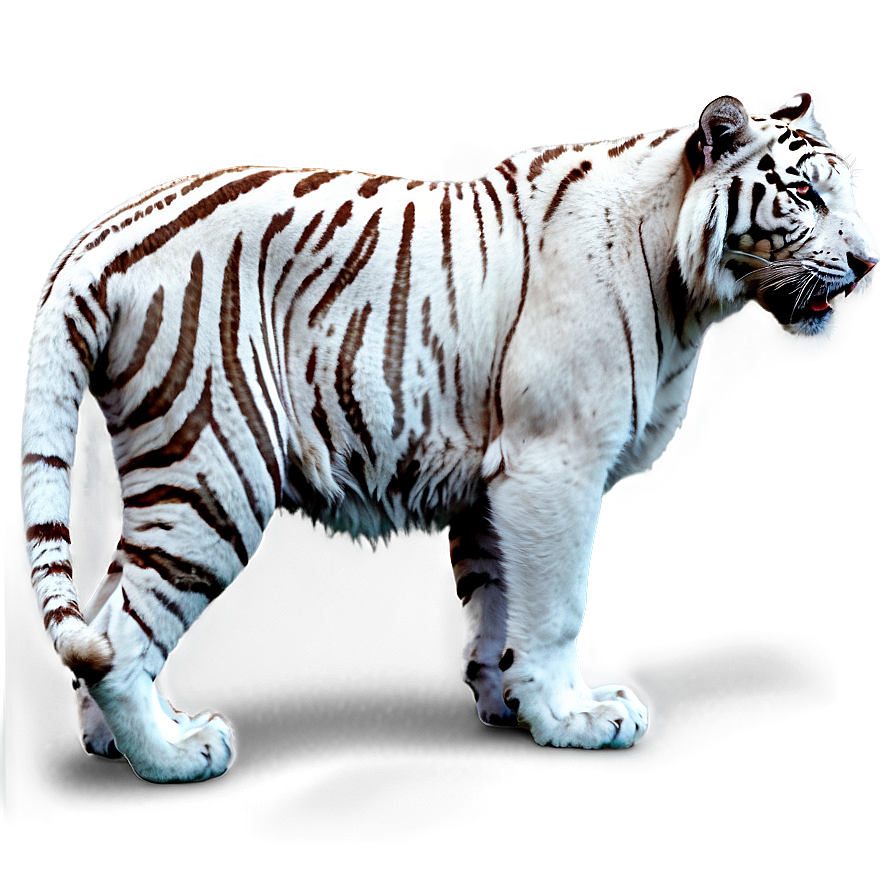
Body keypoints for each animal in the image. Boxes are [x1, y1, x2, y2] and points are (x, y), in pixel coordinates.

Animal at [22, 93, 879, 782]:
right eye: (804, 193)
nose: (871, 262)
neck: (687, 282)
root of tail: (103, 234)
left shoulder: (498, 477)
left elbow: (500, 599)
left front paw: (512, 703)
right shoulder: (554, 461)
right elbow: (556, 604)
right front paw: (577, 718)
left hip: (174, 465)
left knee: (100, 617)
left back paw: (113, 743)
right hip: (216, 465)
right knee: (123, 633)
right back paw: (171, 757)